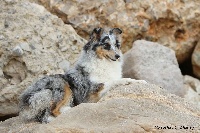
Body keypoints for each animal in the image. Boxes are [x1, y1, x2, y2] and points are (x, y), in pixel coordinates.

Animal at [19, 27, 147, 123]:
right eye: (106, 45)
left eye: (117, 45)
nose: (118, 56)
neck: (104, 62)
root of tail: (26, 98)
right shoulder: (92, 93)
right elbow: (114, 81)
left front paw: (141, 81)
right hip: (61, 84)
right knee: (51, 113)